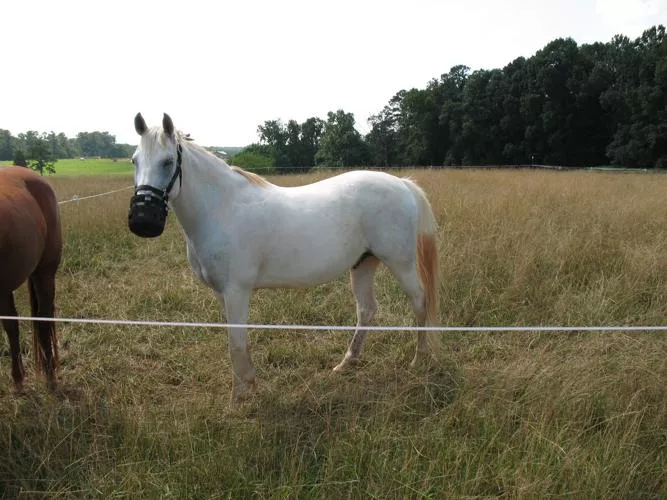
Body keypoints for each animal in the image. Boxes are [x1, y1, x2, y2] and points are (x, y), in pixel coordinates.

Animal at [128, 113, 441, 401]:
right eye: (134, 161)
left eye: (168, 161)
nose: (143, 220)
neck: (222, 208)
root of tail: (402, 184)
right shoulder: (221, 293)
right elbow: (236, 341)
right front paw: (247, 386)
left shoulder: (236, 291)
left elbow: (236, 344)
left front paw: (239, 398)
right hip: (363, 264)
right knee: (366, 310)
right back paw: (347, 362)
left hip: (400, 263)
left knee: (419, 301)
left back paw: (419, 359)